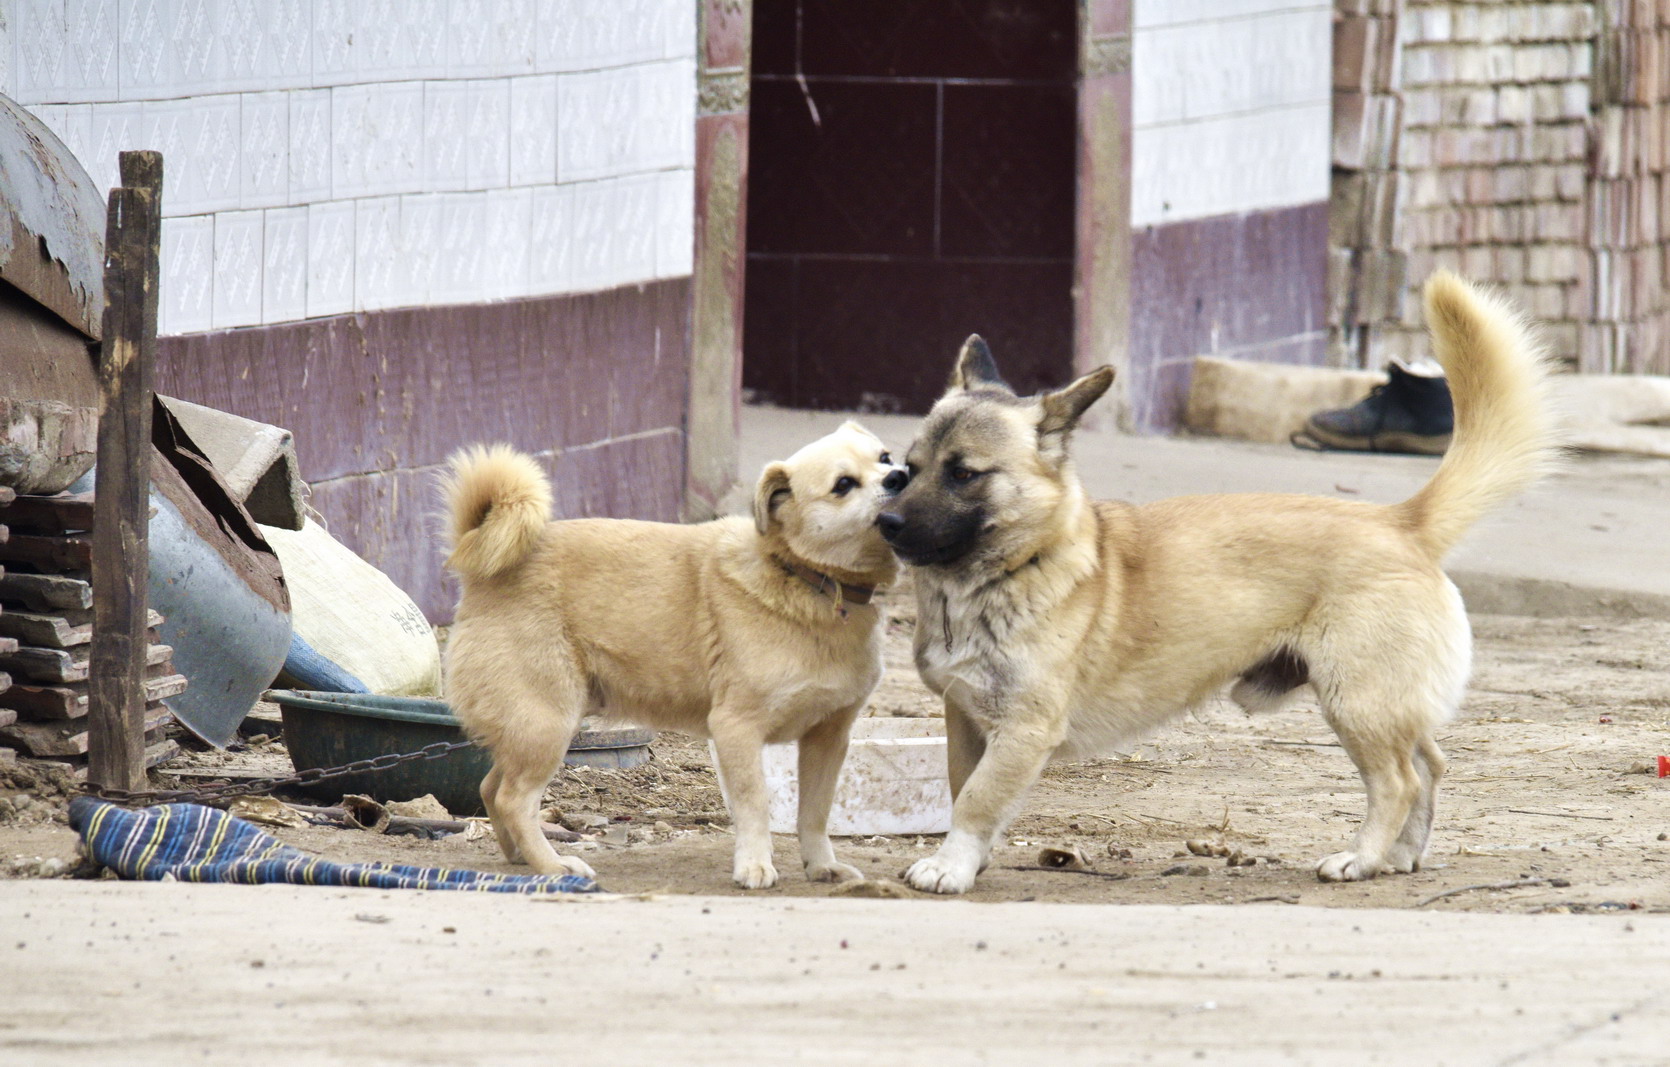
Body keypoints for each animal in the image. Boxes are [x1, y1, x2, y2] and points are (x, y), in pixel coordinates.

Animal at [440, 420, 901, 888]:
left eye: (885, 458)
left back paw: (523, 857)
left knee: (491, 788)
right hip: (546, 724)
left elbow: (815, 813)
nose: (900, 477)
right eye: (843, 484)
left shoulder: (828, 738)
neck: (808, 580)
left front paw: (822, 864)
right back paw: (554, 866)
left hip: (532, 727)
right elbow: (755, 806)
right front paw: (754, 864)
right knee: (514, 798)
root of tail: (480, 567)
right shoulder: (737, 728)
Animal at [881, 273, 1556, 895]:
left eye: (964, 473)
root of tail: (1401, 521)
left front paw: (950, 867)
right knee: (1431, 766)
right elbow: (964, 790)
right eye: (906, 469)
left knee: (1399, 782)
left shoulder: (1023, 731)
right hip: (1384, 708)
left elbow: (977, 801)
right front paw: (969, 859)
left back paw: (1360, 858)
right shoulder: (966, 721)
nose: (886, 523)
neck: (1010, 569)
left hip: (1356, 706)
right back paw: (1401, 854)